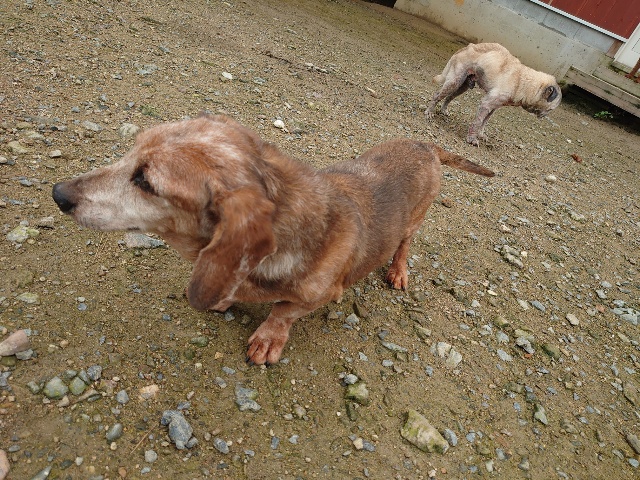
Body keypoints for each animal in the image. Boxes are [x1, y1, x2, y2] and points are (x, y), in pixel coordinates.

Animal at [52, 114, 494, 365]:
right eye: (130, 151)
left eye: (145, 182)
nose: (58, 193)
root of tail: (427, 144)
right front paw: (227, 297)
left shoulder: (321, 294)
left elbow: (283, 311)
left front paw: (268, 339)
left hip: (413, 222)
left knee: (404, 245)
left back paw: (399, 271)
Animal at [425, 42, 561, 146]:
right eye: (550, 110)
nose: (544, 116)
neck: (523, 82)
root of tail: (467, 47)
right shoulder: (486, 104)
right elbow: (478, 122)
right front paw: (471, 138)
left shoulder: (493, 107)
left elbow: (484, 122)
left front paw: (480, 135)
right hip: (454, 82)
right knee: (437, 95)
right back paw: (429, 112)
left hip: (462, 86)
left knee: (449, 97)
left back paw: (443, 110)